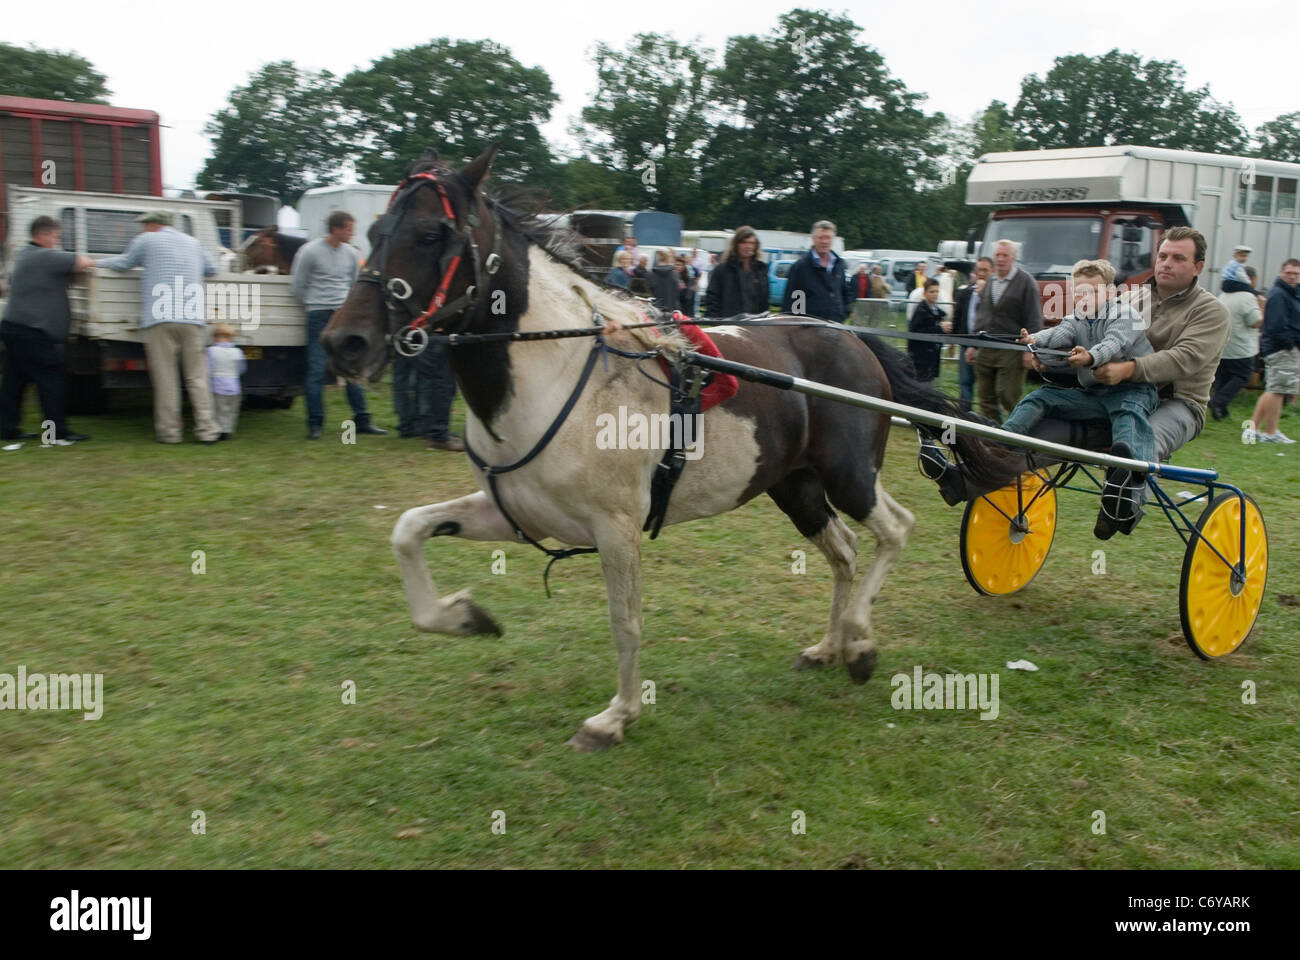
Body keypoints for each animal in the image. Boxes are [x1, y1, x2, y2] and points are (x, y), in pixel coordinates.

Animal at [317, 145, 1024, 749]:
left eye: (431, 234)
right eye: (374, 234)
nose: (344, 342)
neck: (556, 368)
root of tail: (851, 338)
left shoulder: (616, 526)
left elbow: (625, 622)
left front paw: (615, 717)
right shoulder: (514, 513)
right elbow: (409, 530)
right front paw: (465, 616)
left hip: (849, 476)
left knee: (894, 530)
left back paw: (858, 644)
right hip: (794, 486)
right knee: (845, 552)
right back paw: (828, 645)